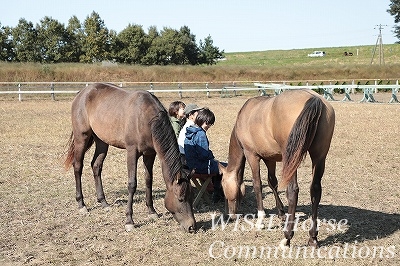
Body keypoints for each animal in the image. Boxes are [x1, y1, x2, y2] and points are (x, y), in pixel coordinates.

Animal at [64, 83, 197, 233]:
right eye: (180, 198)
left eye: (192, 197)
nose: (192, 226)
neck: (146, 119)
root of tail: (82, 93)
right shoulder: (132, 152)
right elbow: (132, 184)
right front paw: (129, 220)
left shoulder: (150, 154)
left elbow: (148, 180)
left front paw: (152, 211)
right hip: (81, 138)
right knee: (78, 166)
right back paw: (81, 204)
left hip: (102, 141)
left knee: (96, 166)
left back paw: (103, 202)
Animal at [220, 89, 336, 247]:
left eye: (223, 187)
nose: (231, 216)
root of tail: (314, 99)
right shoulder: (270, 158)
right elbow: (272, 182)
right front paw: (281, 213)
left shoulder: (252, 155)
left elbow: (257, 184)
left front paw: (261, 220)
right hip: (319, 157)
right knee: (315, 191)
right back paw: (312, 237)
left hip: (293, 159)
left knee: (293, 191)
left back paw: (287, 237)